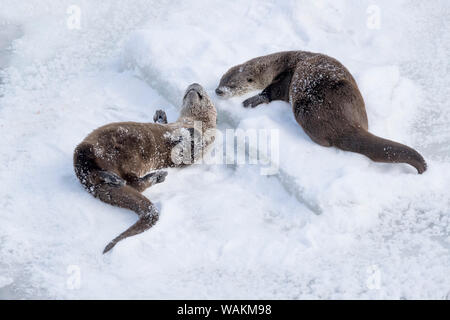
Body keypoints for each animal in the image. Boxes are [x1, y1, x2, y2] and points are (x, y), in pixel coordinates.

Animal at [73, 84, 216, 254]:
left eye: (207, 96)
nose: (194, 85)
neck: (191, 122)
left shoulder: (196, 152)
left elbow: (187, 150)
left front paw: (191, 134)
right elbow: (168, 127)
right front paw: (161, 116)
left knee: (133, 183)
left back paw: (148, 177)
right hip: (86, 149)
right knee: (92, 169)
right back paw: (116, 178)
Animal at [216, 51, 428, 174]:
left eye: (231, 85)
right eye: (221, 80)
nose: (218, 91)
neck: (281, 62)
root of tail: (347, 123)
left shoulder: (287, 76)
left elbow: (273, 91)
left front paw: (253, 100)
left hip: (305, 107)